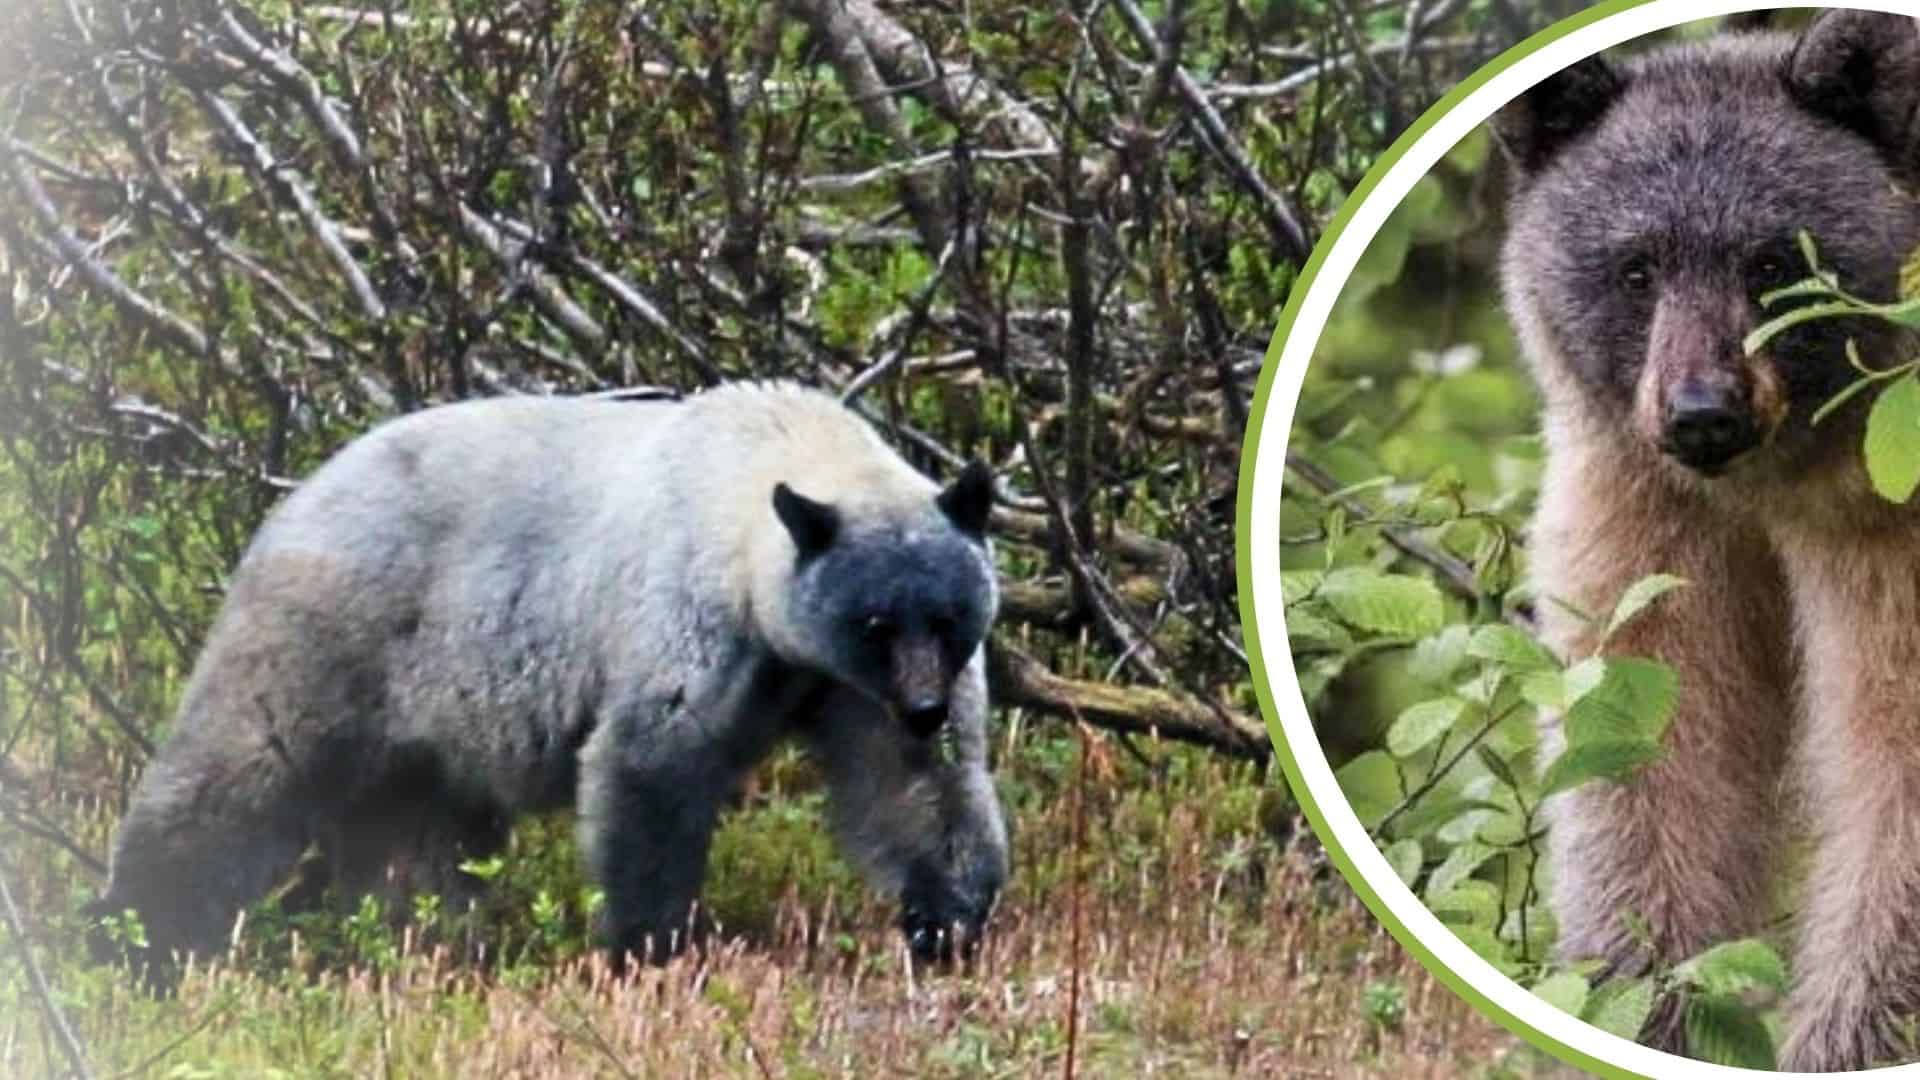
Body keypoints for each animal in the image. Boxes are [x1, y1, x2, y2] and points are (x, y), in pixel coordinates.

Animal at [91, 380, 1010, 979]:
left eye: (950, 618)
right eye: (875, 623)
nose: (926, 708)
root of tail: (292, 500)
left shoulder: (841, 684)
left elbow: (911, 784)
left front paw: (945, 921)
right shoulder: (684, 610)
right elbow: (650, 765)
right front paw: (648, 943)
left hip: (428, 728)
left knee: (414, 841)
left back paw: (421, 940)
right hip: (333, 634)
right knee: (242, 769)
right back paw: (139, 933)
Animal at [1492, 10, 1920, 1071]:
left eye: (1772, 262)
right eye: (1635, 265)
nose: (1703, 414)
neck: (1789, 483)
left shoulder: (1891, 518)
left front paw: (1841, 1036)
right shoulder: (1651, 511)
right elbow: (1649, 742)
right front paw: (1648, 1001)